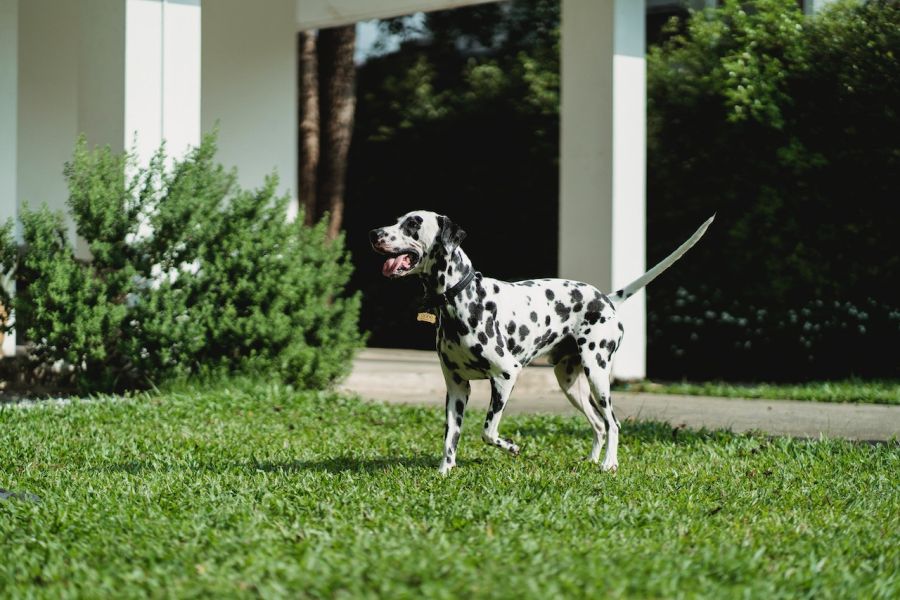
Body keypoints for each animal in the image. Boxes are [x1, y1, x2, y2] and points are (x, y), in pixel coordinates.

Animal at [370, 210, 712, 474]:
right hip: (571, 384)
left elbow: (488, 432)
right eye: (397, 220)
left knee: (613, 424)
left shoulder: (506, 375)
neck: (462, 299)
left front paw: (511, 447)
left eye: (412, 223)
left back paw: (609, 464)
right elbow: (450, 438)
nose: (374, 232)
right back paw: (592, 461)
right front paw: (445, 471)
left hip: (598, 376)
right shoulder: (456, 388)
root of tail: (605, 298)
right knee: (599, 425)